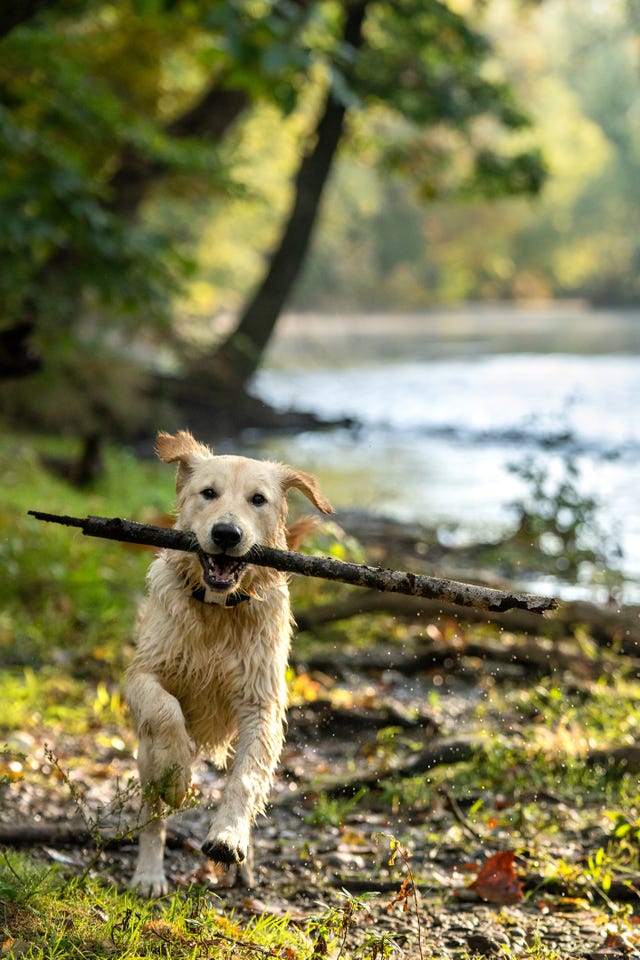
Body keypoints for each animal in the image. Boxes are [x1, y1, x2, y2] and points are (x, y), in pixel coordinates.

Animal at [125, 432, 336, 896]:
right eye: (208, 493)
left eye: (258, 499)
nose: (226, 533)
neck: (218, 610)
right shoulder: (142, 675)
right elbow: (166, 710)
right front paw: (177, 775)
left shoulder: (262, 707)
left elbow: (247, 779)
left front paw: (228, 836)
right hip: (144, 754)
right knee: (152, 811)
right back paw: (149, 872)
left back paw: (244, 866)